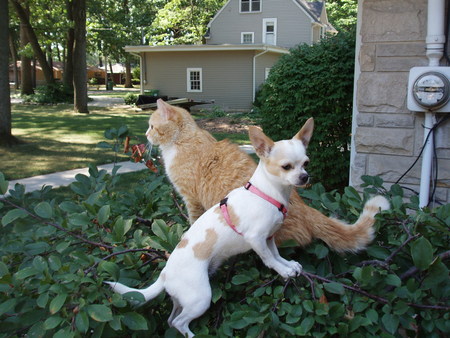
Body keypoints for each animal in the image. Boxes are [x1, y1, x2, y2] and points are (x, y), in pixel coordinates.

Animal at [147, 100, 384, 251]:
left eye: (151, 126)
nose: (147, 135)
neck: (182, 141)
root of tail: (307, 210)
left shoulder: (191, 199)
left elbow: (193, 220)